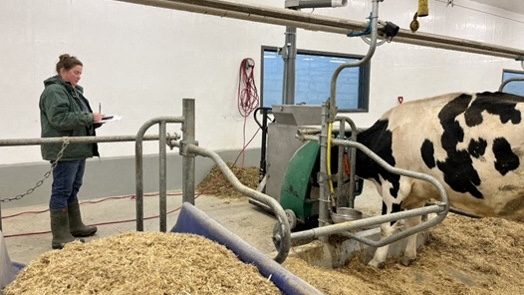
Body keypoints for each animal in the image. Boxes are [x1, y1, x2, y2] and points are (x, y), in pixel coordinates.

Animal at [354, 92, 524, 268]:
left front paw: (376, 261)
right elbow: (413, 223)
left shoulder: (394, 184)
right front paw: (409, 256)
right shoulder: (418, 191)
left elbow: (386, 226)